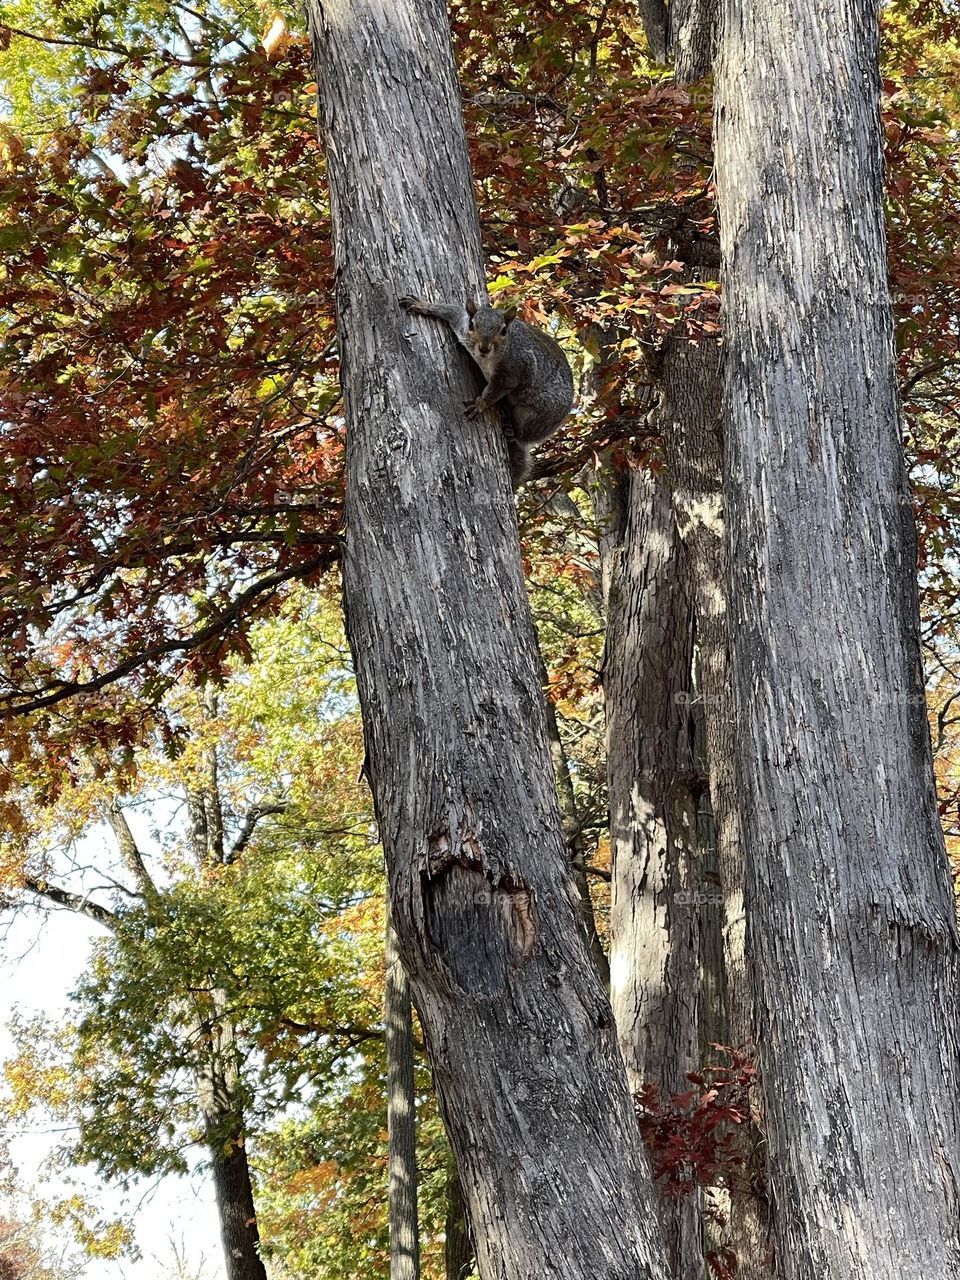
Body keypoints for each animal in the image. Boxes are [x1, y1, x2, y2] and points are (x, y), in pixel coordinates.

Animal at [400, 294, 574, 487]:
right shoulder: (461, 323)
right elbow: (451, 310)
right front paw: (422, 305)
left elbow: (494, 392)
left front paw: (480, 404)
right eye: (472, 325)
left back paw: (513, 432)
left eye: (504, 331)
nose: (484, 348)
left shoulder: (514, 371)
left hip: (539, 414)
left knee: (524, 434)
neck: (486, 359)